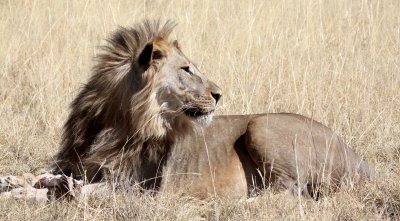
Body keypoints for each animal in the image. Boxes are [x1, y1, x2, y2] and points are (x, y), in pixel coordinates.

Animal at [0, 19, 372, 201]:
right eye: (187, 69)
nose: (219, 94)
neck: (117, 123)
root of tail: (356, 156)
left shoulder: (137, 189)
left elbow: (69, 193)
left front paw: (35, 192)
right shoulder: (77, 163)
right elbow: (41, 177)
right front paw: (17, 181)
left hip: (263, 127)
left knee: (289, 195)